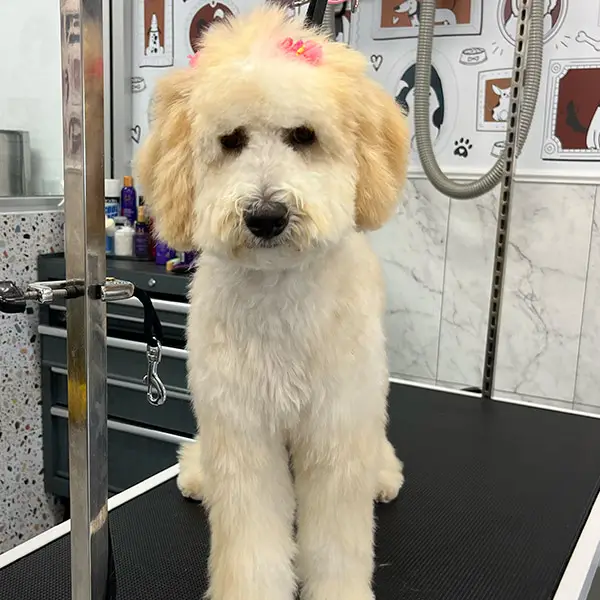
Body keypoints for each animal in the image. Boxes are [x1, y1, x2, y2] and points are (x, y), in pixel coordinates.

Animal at [137, 7, 408, 596]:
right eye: (232, 140)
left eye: (302, 135)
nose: (266, 216)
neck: (278, 288)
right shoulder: (242, 432)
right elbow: (252, 538)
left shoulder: (335, 428)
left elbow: (335, 539)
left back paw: (383, 476)